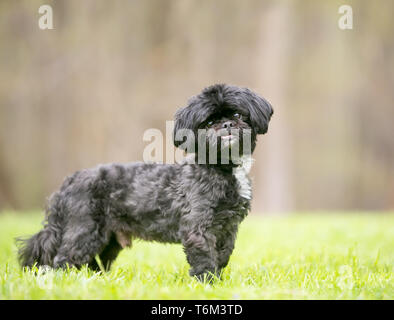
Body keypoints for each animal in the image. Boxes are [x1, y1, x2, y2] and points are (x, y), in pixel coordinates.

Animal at [16, 84, 272, 282]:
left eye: (238, 115)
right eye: (209, 122)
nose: (226, 125)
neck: (223, 167)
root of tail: (69, 181)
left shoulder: (228, 227)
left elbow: (224, 254)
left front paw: (218, 279)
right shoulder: (198, 227)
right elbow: (205, 257)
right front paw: (207, 282)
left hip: (108, 239)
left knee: (94, 263)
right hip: (85, 229)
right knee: (64, 259)